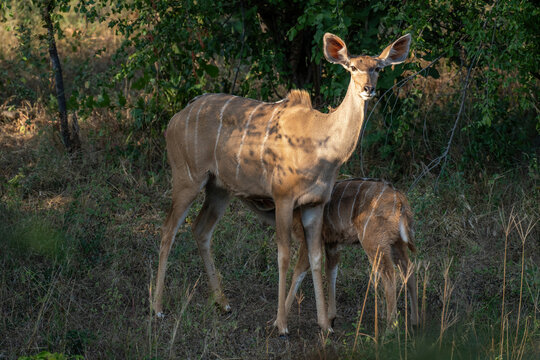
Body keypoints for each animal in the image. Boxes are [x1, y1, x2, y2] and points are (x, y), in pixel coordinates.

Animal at [284, 179, 420, 328]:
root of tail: (400, 200)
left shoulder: (309, 240)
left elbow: (298, 272)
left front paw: (279, 322)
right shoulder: (332, 243)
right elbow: (331, 272)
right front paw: (331, 319)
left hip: (374, 242)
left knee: (389, 274)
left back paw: (391, 326)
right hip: (397, 243)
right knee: (409, 269)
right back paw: (415, 322)